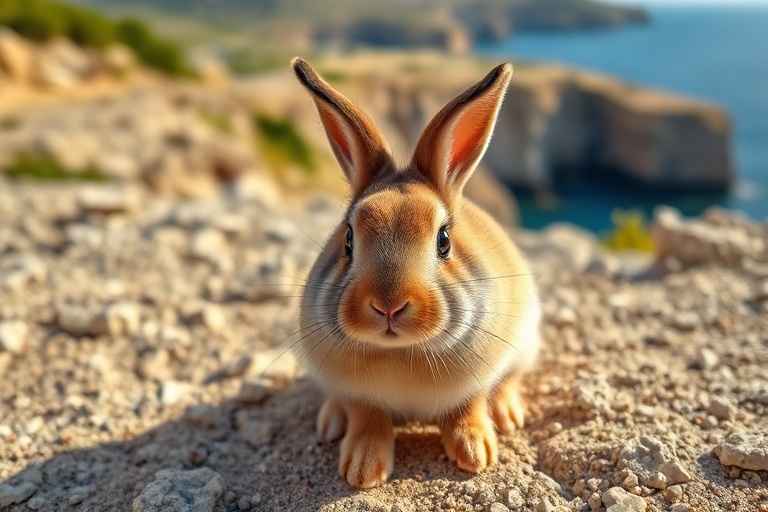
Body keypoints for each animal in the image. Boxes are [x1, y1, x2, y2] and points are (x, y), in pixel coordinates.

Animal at [292, 57, 541, 489]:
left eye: (443, 240)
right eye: (348, 239)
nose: (389, 306)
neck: (401, 352)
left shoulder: (476, 382)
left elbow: (467, 409)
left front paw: (475, 453)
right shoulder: (359, 396)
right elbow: (367, 418)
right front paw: (362, 470)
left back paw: (507, 415)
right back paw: (330, 422)